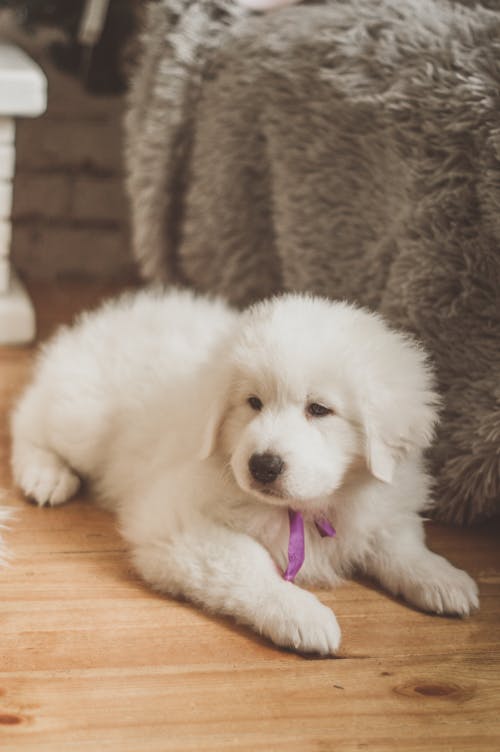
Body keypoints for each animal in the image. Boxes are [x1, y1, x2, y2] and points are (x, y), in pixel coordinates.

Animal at [9, 288, 478, 652]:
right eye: (253, 402)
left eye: (319, 410)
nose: (263, 465)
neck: (311, 507)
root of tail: (109, 316)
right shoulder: (175, 522)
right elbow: (248, 563)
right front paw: (301, 614)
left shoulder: (382, 505)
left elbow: (401, 543)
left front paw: (442, 577)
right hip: (83, 417)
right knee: (28, 418)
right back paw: (46, 475)